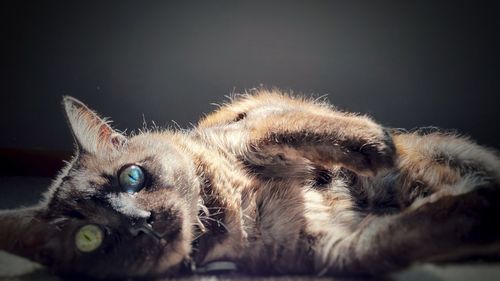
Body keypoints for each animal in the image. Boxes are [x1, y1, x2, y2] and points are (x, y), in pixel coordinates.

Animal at [0, 89, 500, 278]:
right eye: (90, 237)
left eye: (132, 176)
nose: (141, 220)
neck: (230, 215)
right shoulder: (329, 249)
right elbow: (398, 238)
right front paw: (479, 213)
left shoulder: (252, 124)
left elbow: (295, 127)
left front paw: (376, 148)